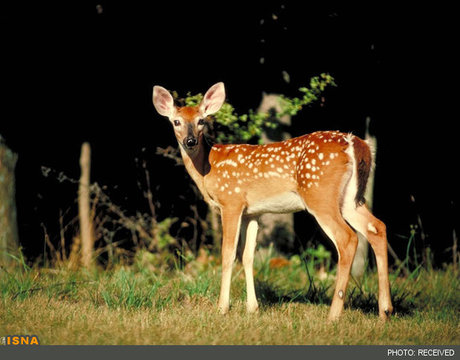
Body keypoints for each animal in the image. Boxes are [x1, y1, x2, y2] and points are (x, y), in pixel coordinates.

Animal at [153, 81, 394, 320]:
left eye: (201, 120)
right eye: (176, 121)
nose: (190, 141)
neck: (208, 168)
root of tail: (355, 142)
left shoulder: (231, 201)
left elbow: (228, 254)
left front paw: (222, 307)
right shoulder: (252, 212)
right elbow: (248, 256)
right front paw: (253, 307)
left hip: (319, 195)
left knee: (348, 238)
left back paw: (334, 314)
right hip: (350, 198)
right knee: (377, 227)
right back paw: (385, 310)